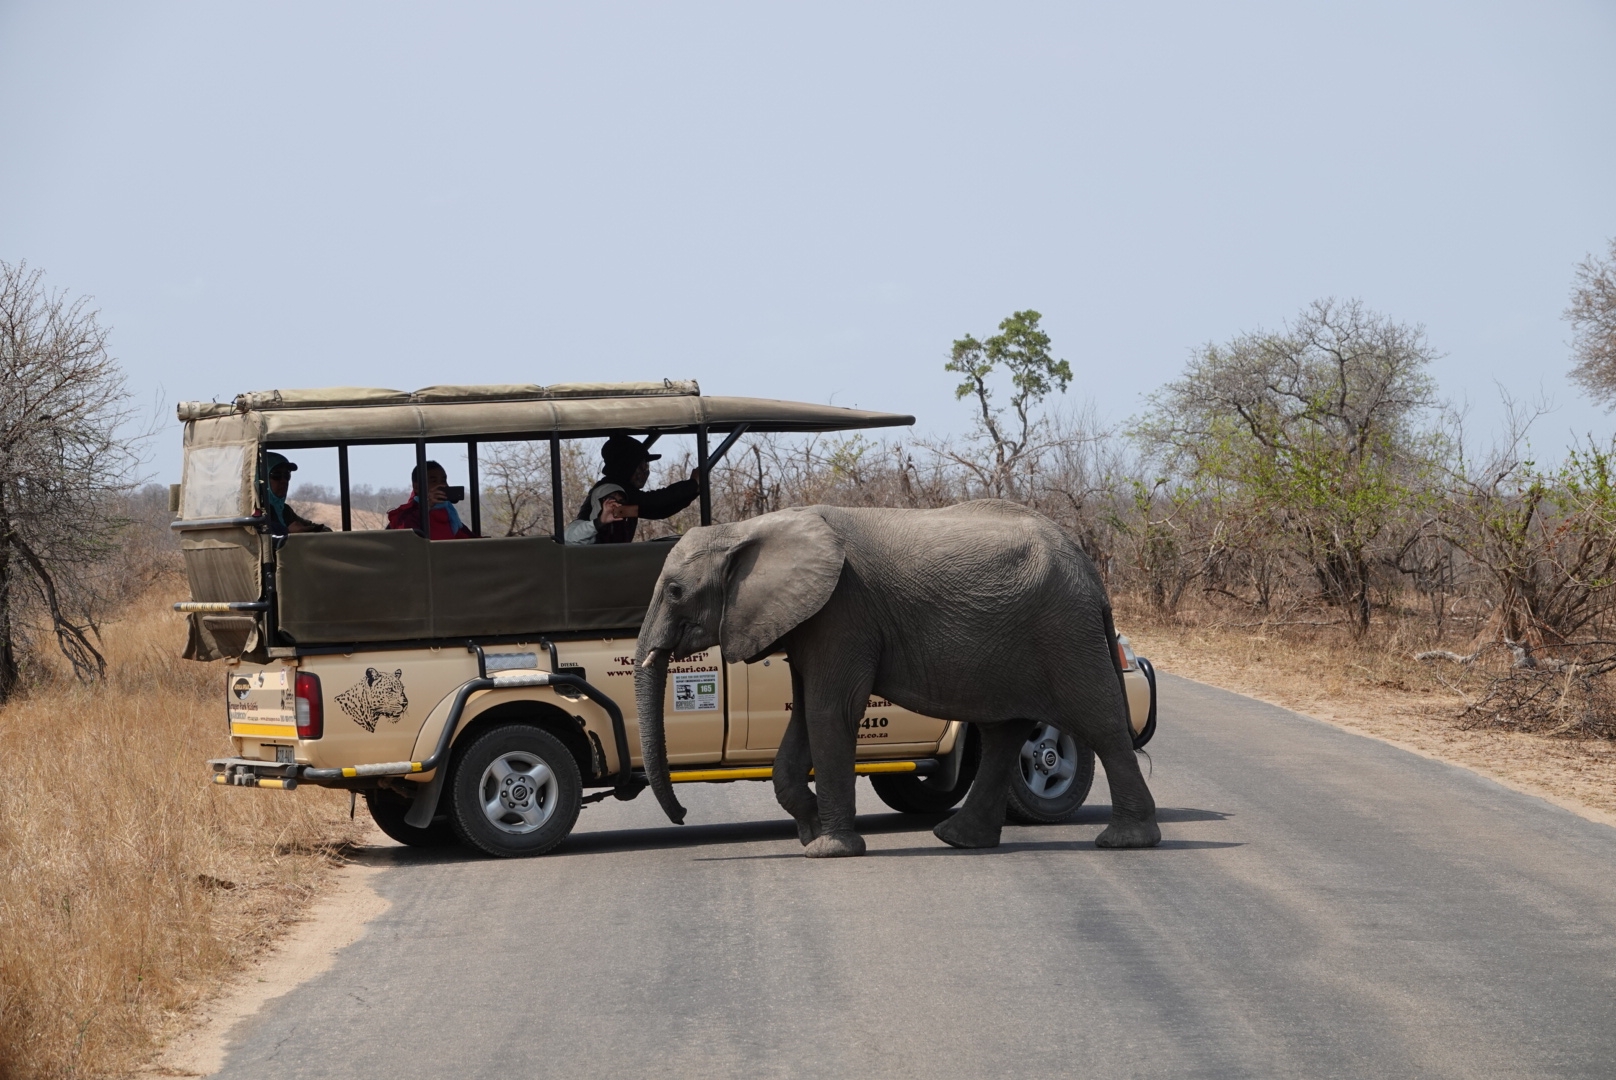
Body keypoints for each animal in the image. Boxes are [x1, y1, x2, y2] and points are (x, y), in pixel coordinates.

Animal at [633, 501, 1163, 860]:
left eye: (676, 591)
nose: (682, 815)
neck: (747, 529)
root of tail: (1092, 574)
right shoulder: (809, 622)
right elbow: (803, 716)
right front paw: (809, 831)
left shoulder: (842, 613)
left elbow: (830, 711)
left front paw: (828, 848)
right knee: (1004, 732)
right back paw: (959, 840)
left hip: (1064, 631)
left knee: (1099, 724)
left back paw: (1125, 841)